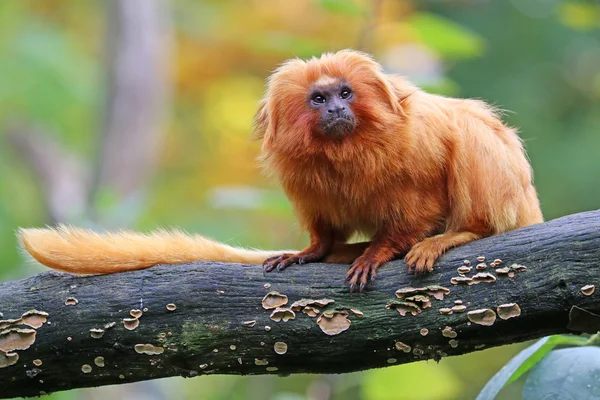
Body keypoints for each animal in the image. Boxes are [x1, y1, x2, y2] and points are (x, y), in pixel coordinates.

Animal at [18, 50, 544, 294]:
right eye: (318, 98)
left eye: (346, 93)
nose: (335, 109)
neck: (350, 149)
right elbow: (323, 225)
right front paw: (314, 250)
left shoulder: (419, 144)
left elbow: (422, 196)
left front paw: (381, 250)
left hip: (510, 198)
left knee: (474, 137)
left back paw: (461, 233)